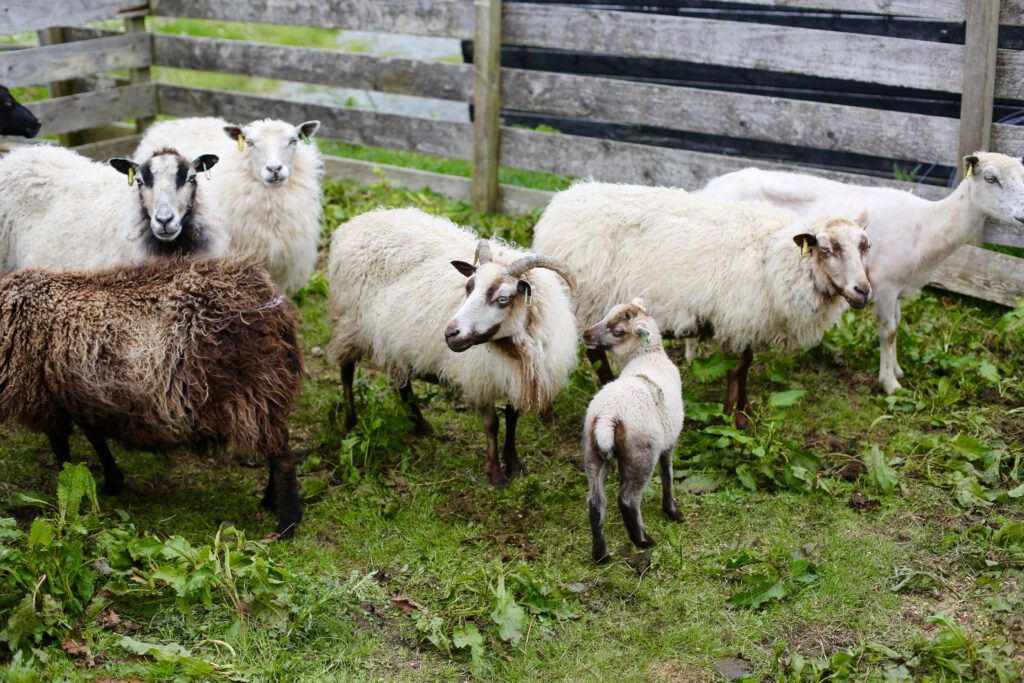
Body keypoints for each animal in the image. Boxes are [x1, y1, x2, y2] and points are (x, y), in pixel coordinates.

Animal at [0, 256, 304, 538]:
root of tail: (273, 304)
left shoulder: (44, 400)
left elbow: (63, 449)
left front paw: (72, 483)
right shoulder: (77, 397)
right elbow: (94, 438)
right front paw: (113, 481)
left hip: (253, 391)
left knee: (284, 458)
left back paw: (286, 524)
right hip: (265, 394)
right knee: (279, 448)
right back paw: (270, 502)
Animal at [328, 207, 578, 487]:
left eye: (503, 299)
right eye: (468, 287)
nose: (450, 334)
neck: (512, 351)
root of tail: (358, 221)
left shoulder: (514, 376)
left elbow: (512, 419)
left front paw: (515, 464)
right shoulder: (480, 378)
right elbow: (492, 424)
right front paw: (496, 475)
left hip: (393, 338)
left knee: (402, 381)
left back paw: (421, 425)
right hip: (349, 323)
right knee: (347, 370)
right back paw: (351, 422)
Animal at [532, 182, 871, 427]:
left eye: (864, 247)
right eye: (827, 248)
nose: (863, 290)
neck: (773, 257)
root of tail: (559, 206)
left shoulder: (747, 322)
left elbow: (746, 367)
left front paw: (745, 410)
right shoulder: (736, 318)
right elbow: (737, 368)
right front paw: (733, 419)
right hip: (586, 301)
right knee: (591, 352)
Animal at [581, 298, 684, 563]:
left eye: (618, 331)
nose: (586, 334)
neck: (648, 356)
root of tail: (608, 416)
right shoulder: (668, 442)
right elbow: (668, 474)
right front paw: (672, 511)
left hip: (592, 450)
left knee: (596, 502)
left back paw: (601, 554)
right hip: (641, 454)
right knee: (627, 499)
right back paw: (642, 540)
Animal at [699, 153, 1024, 394]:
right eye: (991, 178)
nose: (1022, 214)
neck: (928, 225)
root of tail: (707, 188)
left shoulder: (898, 289)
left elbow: (898, 326)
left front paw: (897, 370)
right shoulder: (885, 284)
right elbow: (889, 332)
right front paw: (890, 384)